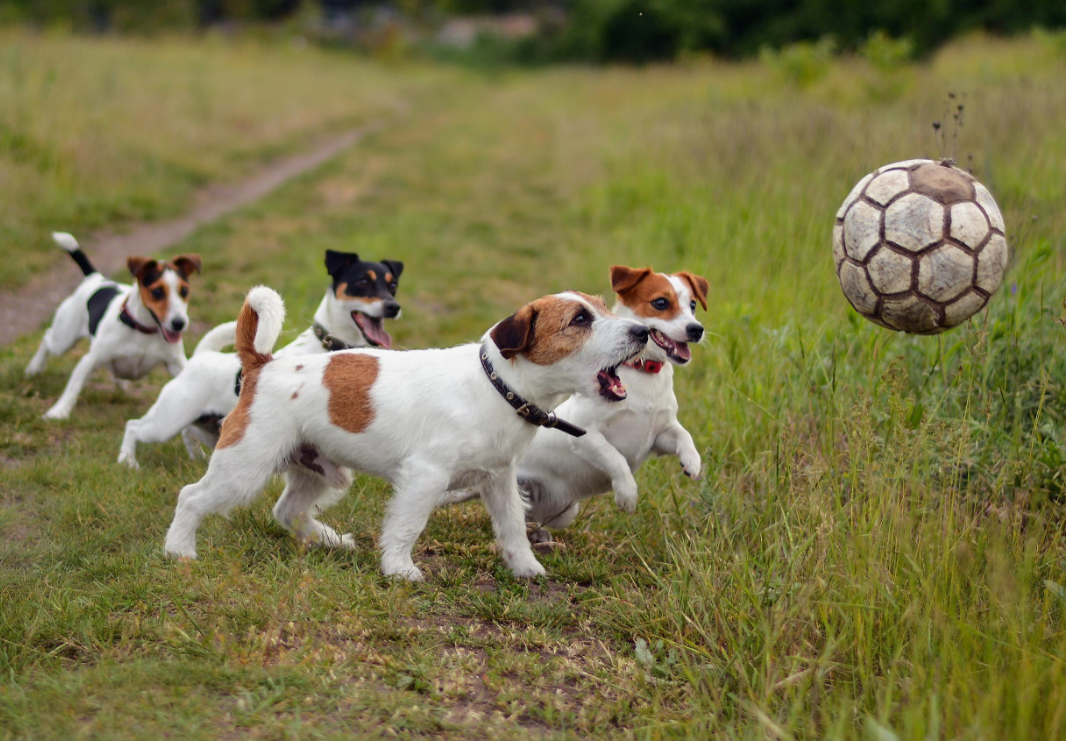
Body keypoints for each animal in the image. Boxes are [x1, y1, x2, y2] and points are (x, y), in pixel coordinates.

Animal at [115, 249, 400, 469]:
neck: (330, 345)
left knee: (189, 431)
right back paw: (128, 461)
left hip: (209, 424)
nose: (393, 307)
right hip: (167, 421)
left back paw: (197, 457)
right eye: (362, 281)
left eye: (393, 285)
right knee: (134, 426)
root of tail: (202, 355)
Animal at [164, 283, 648, 580]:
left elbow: (512, 525)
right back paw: (178, 551)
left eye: (605, 308)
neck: (496, 386)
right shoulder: (424, 478)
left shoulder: (499, 480)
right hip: (244, 467)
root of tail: (261, 364)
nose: (644, 331)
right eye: (580, 320)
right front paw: (399, 570)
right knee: (191, 497)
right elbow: (407, 526)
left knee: (287, 510)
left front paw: (525, 568)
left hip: (323, 472)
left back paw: (330, 541)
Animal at [507, 265, 707, 539]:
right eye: (661, 303)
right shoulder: (586, 436)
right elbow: (616, 459)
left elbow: (683, 435)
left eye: (693, 305)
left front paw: (692, 461)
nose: (696, 329)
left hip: (562, 513)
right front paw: (627, 495)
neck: (644, 376)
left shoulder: (659, 435)